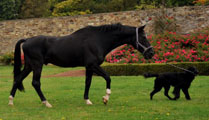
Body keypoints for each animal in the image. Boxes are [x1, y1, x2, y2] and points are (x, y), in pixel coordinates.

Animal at [8, 23, 153, 107]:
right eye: (143, 37)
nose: (151, 53)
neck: (98, 39)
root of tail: (27, 40)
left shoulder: (89, 67)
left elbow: (88, 82)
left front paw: (87, 100)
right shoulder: (93, 65)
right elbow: (108, 77)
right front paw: (105, 98)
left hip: (29, 66)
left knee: (18, 79)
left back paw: (11, 101)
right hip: (37, 65)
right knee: (36, 83)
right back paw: (46, 102)